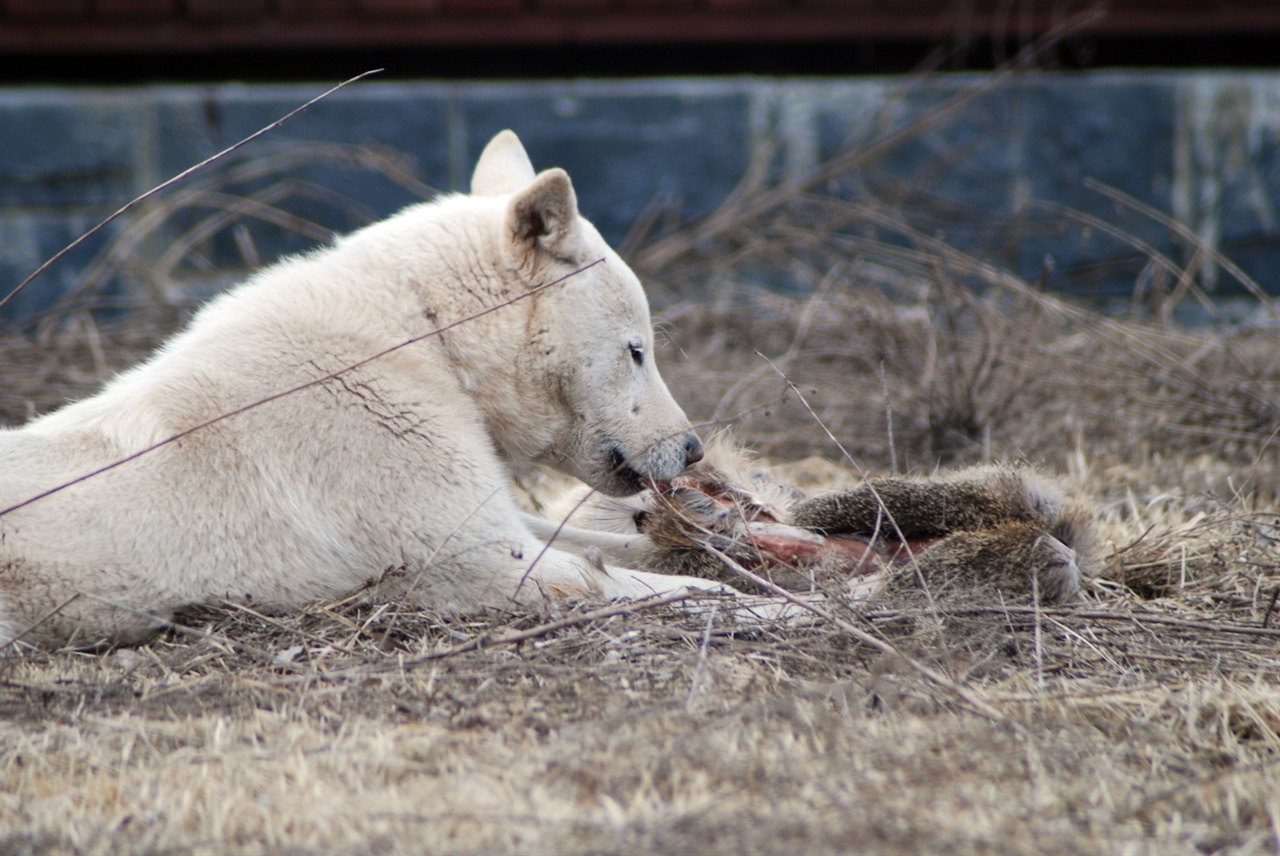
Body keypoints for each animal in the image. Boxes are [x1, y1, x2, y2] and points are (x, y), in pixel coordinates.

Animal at [0, 128, 737, 647]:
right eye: (637, 351)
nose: (694, 450)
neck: (431, 341)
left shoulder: (487, 515)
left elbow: (609, 544)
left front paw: (721, 540)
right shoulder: (485, 562)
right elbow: (658, 587)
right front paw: (756, 601)